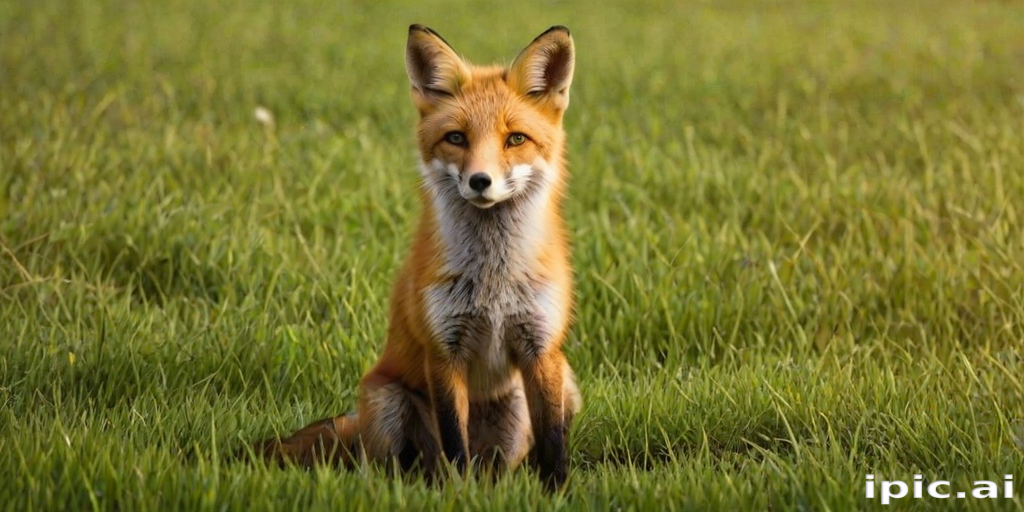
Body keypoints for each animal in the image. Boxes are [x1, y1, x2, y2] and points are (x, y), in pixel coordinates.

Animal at [249, 24, 582, 490]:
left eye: (515, 138)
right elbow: (454, 442)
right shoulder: (442, 352)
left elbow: (552, 440)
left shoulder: (542, 347)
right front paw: (458, 494)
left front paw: (557, 492)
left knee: (500, 468)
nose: (480, 181)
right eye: (456, 138)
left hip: (557, 386)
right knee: (393, 467)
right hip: (387, 401)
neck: (493, 281)